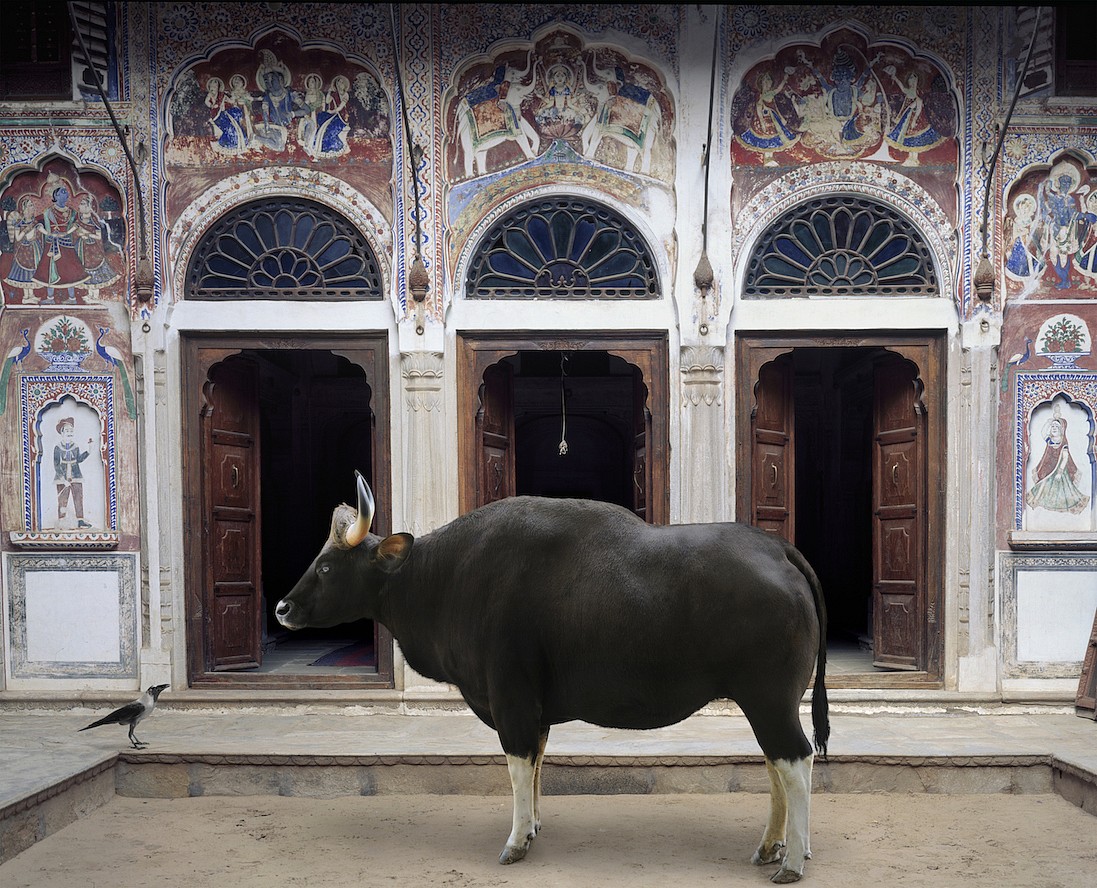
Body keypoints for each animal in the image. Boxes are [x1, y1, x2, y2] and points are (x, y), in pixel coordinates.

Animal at [278, 471, 824, 878]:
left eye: (325, 567)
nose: (283, 607)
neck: (447, 577)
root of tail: (777, 549)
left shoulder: (511, 698)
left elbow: (520, 764)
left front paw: (517, 839)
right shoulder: (534, 707)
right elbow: (538, 761)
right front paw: (535, 826)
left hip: (769, 698)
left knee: (796, 760)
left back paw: (792, 861)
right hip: (765, 701)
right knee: (776, 763)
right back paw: (771, 847)